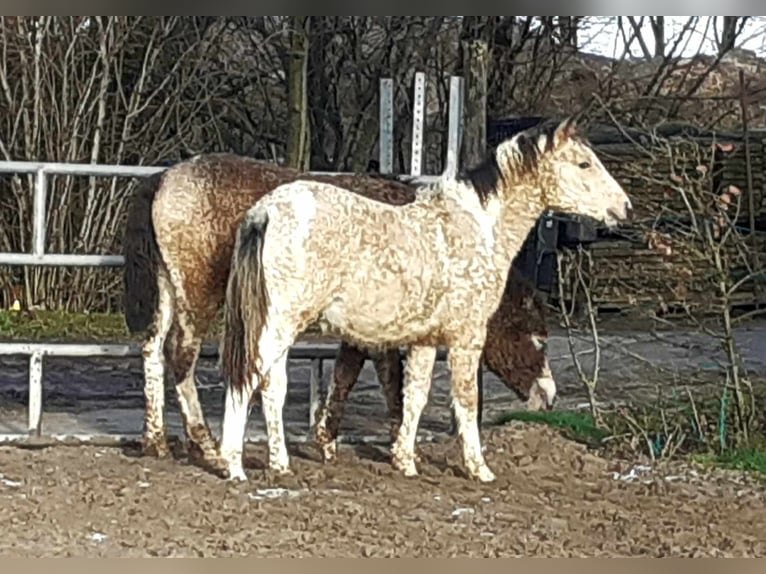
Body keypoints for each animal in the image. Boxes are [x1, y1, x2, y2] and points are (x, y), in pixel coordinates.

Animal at [122, 154, 557, 470]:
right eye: (536, 336)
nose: (549, 396)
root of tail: (163, 178)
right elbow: (387, 380)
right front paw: (397, 444)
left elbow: (349, 373)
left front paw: (329, 439)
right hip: (199, 293)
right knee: (181, 354)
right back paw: (206, 445)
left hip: (171, 290)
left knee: (152, 349)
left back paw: (156, 440)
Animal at [219, 116, 632, 483]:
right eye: (584, 163)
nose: (624, 207)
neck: (477, 228)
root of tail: (264, 211)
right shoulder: (466, 338)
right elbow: (466, 400)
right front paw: (479, 469)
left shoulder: (424, 340)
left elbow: (414, 396)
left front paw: (405, 461)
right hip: (278, 326)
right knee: (248, 380)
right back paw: (234, 465)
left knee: (272, 388)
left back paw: (280, 464)